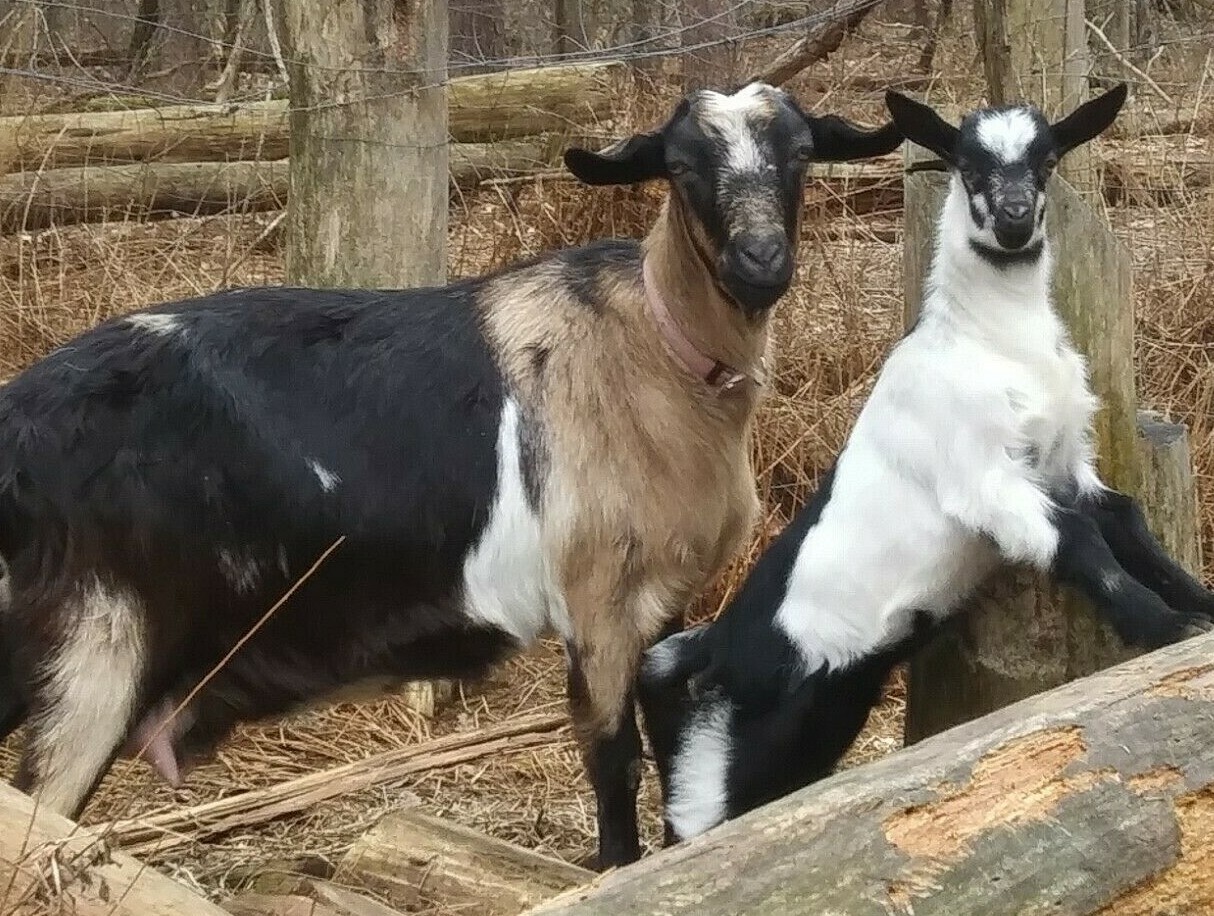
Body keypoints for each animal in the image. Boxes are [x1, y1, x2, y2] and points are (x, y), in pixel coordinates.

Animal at [0, 83, 902, 867]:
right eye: (681, 168)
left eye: (800, 155)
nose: (760, 261)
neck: (652, 349)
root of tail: (18, 427)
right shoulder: (596, 600)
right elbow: (612, 760)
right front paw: (615, 868)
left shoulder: (658, 603)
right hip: (96, 652)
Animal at [638, 82, 1214, 845]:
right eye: (967, 164)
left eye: (1048, 160)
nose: (1014, 220)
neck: (987, 342)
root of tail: (717, 650)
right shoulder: (987, 481)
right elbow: (1081, 545)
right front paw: (1168, 629)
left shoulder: (1066, 464)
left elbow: (1125, 520)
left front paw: (1202, 607)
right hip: (732, 746)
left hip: (815, 717)